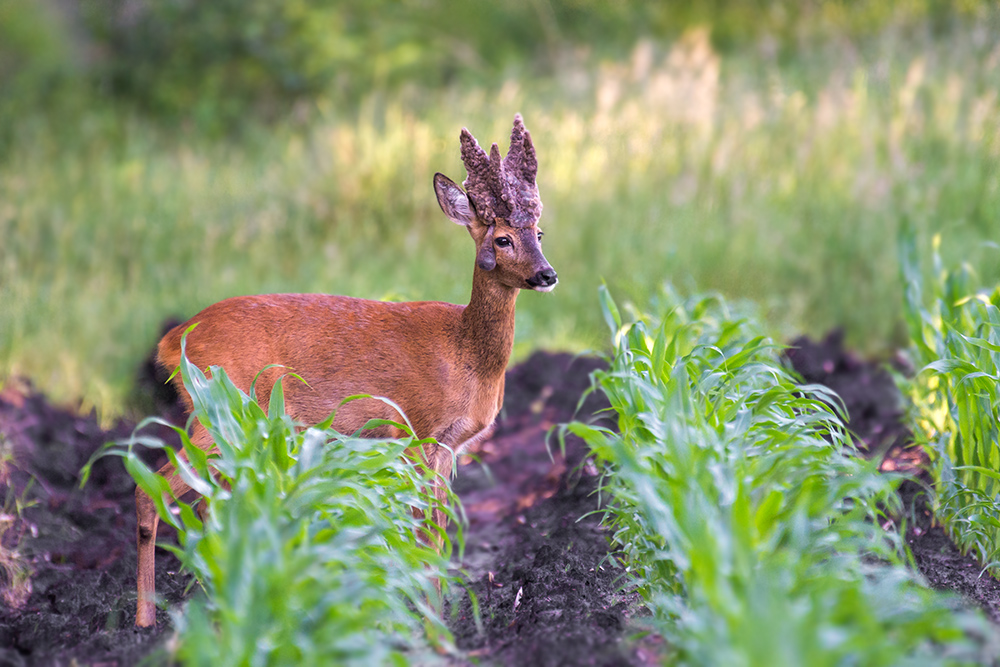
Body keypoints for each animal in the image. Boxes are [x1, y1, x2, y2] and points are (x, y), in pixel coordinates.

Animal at [134, 113, 560, 628]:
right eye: (502, 238)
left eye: (539, 233)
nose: (547, 275)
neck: (467, 356)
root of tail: (171, 340)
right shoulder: (417, 431)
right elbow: (426, 533)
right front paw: (429, 621)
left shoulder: (447, 448)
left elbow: (439, 531)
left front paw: (439, 614)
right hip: (223, 408)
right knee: (154, 486)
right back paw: (146, 620)